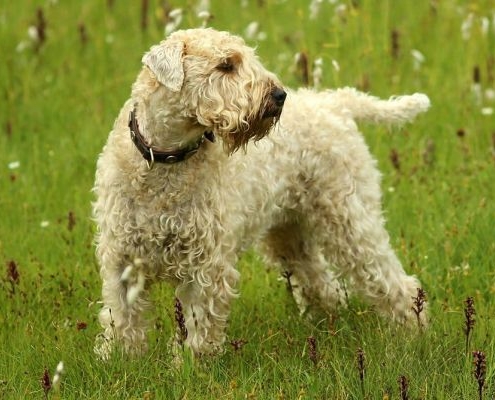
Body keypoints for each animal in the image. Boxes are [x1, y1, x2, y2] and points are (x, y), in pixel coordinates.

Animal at [92, 28, 430, 360]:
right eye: (226, 64)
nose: (279, 95)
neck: (164, 161)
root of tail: (337, 104)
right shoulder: (122, 258)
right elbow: (123, 318)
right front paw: (120, 361)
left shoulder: (207, 265)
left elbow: (199, 327)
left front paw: (189, 367)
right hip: (291, 234)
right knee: (324, 283)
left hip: (349, 220)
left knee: (396, 282)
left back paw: (413, 335)